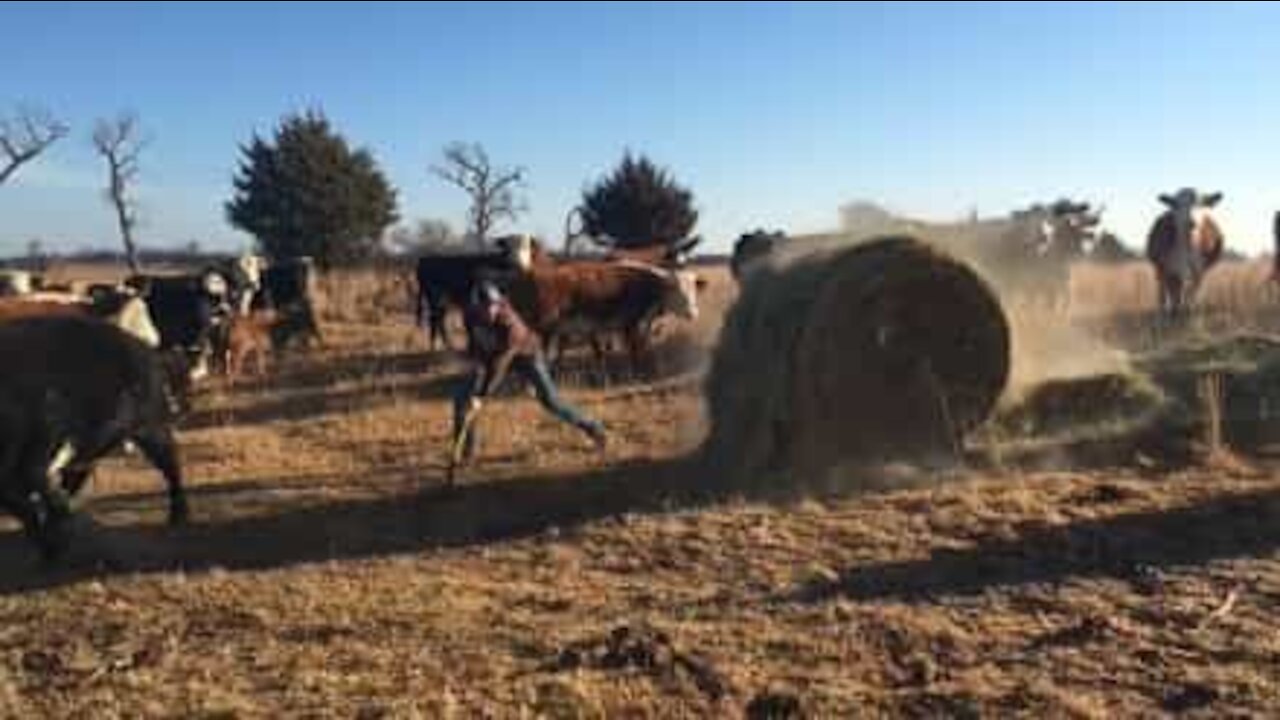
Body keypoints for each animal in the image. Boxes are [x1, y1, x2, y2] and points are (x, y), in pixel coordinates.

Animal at [0, 313, 186, 561]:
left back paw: (178, 519)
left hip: (151, 426)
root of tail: (147, 351)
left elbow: (34, 481)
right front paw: (52, 545)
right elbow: (23, 502)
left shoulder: (48, 434)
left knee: (171, 464)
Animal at [1146, 188, 1223, 316]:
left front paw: (1188, 311)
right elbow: (1173, 293)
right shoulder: (1167, 268)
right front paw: (1173, 311)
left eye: (1201, 204)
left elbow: (1191, 293)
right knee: (1165, 291)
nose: (1191, 222)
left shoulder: (1199, 271)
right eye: (1177, 205)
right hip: (1160, 268)